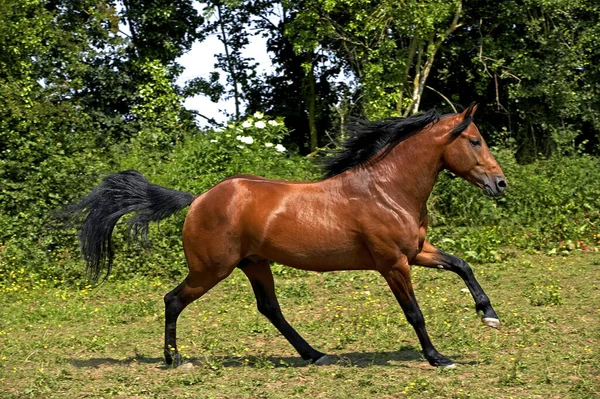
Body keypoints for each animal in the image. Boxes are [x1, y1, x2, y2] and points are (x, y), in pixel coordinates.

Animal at [63, 103, 506, 368]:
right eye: (475, 140)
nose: (500, 184)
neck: (387, 190)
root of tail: (198, 199)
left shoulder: (417, 251)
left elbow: (462, 265)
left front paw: (489, 314)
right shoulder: (393, 263)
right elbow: (414, 312)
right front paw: (437, 357)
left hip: (254, 264)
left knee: (270, 309)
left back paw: (314, 354)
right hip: (211, 269)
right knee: (173, 300)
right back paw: (174, 359)